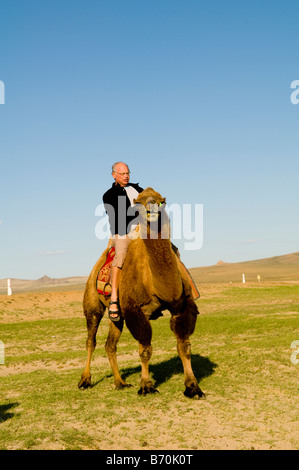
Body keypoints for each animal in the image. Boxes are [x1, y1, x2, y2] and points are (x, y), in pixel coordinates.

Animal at [78, 185, 206, 398]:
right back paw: (85, 380)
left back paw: (120, 382)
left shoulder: (182, 307)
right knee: (91, 340)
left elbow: (184, 346)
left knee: (110, 344)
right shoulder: (135, 310)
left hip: (116, 316)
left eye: (161, 201)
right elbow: (145, 348)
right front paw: (146, 385)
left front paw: (193, 387)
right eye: (139, 202)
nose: (151, 208)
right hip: (92, 303)